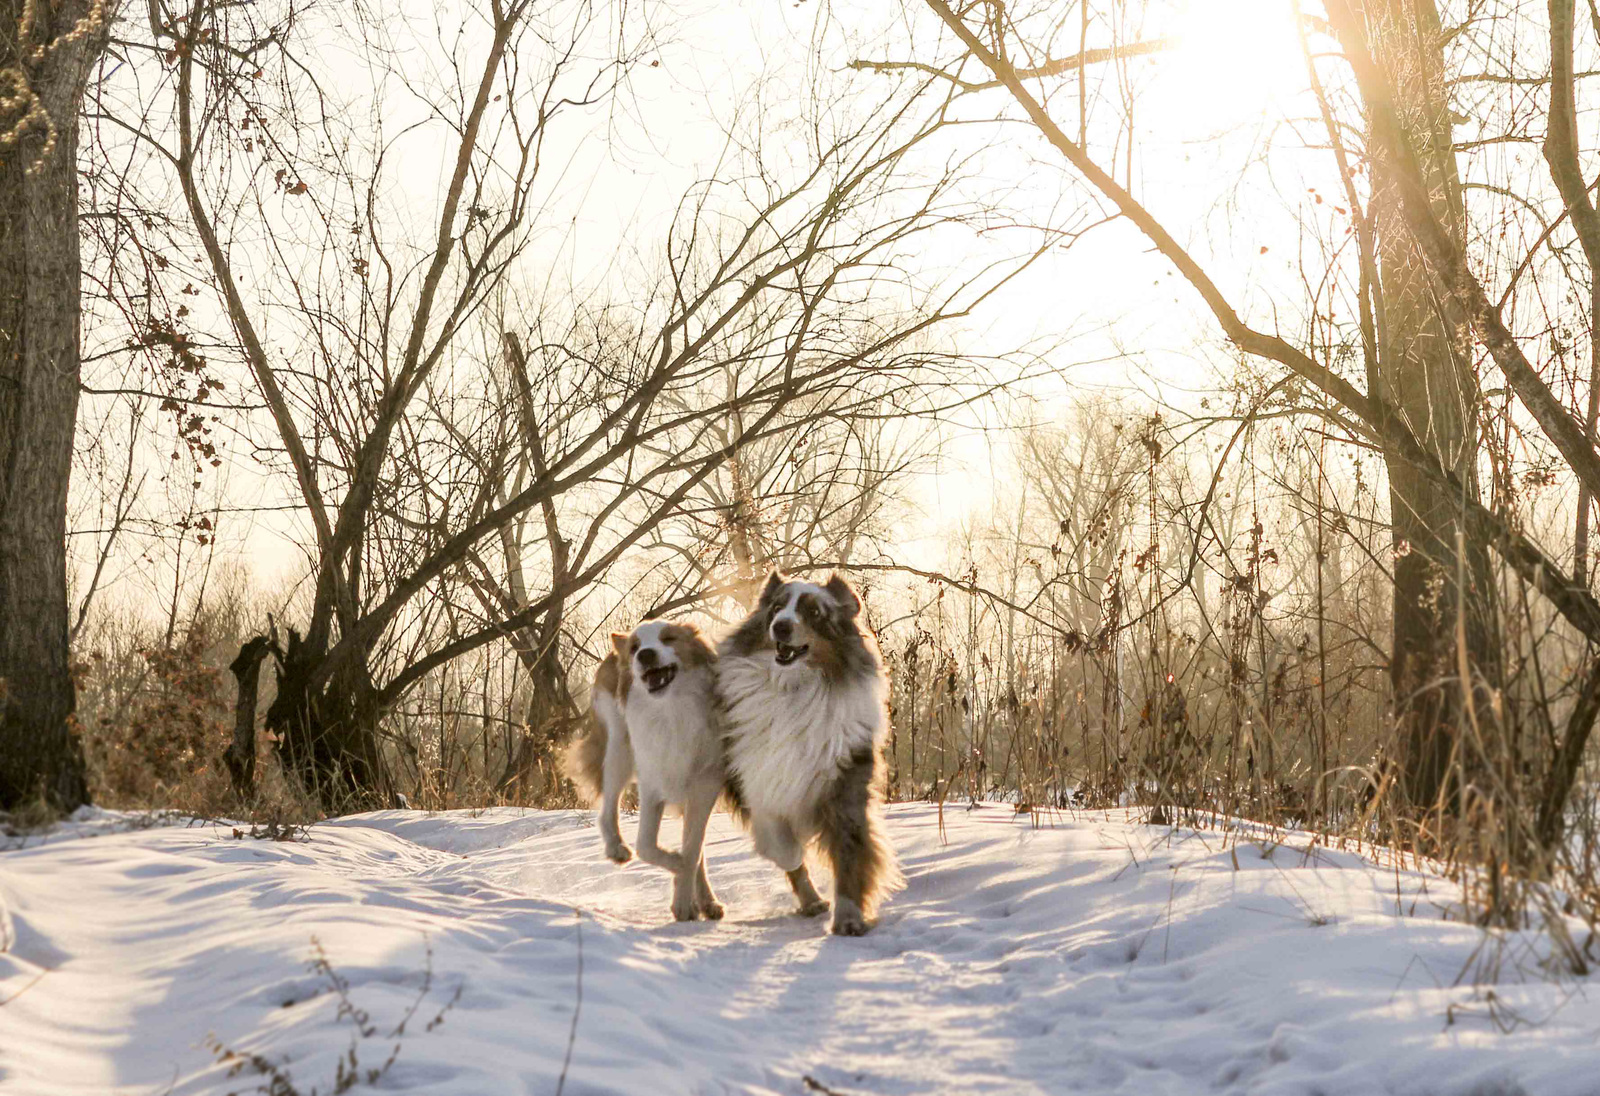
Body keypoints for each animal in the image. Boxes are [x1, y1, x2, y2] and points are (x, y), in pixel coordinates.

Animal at [563, 620, 726, 921]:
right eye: (636, 647)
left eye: (669, 638)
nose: (645, 655)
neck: (671, 713)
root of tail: (613, 649)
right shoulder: (652, 788)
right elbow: (648, 847)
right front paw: (678, 868)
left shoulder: (703, 789)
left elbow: (694, 848)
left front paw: (686, 899)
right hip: (619, 751)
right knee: (607, 809)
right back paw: (616, 848)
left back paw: (707, 902)